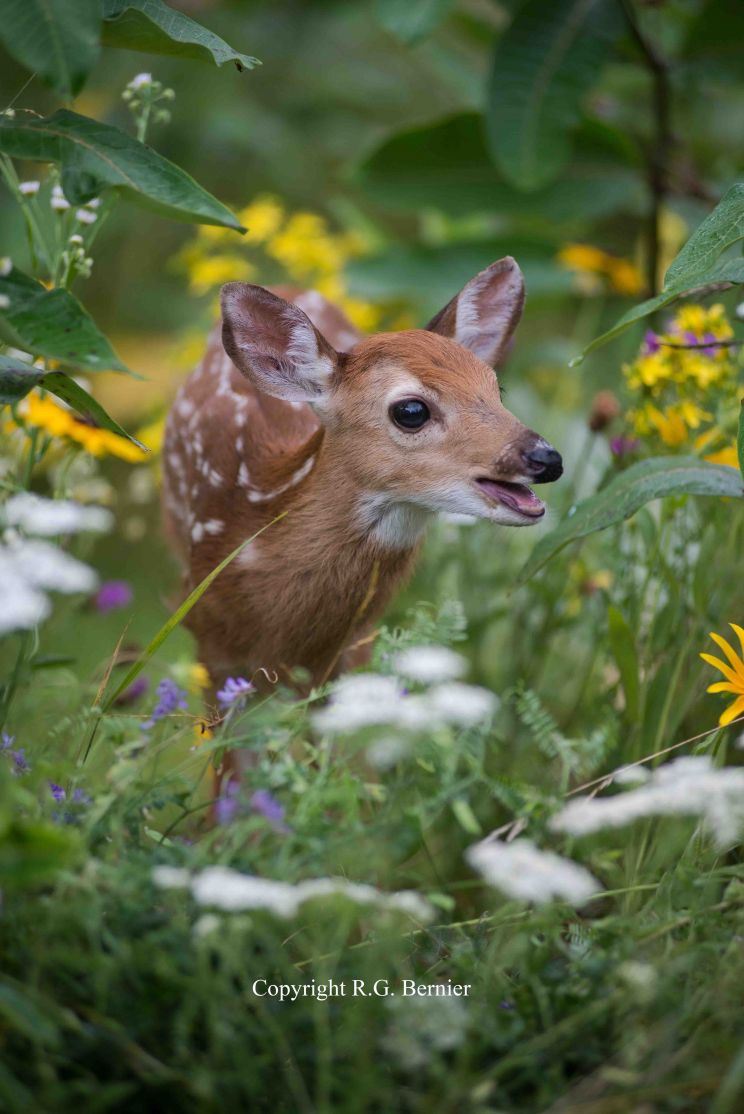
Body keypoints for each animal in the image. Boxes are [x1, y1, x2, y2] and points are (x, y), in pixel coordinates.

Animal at [160, 253, 561, 793]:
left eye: (497, 390)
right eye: (411, 410)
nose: (546, 459)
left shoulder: (350, 645)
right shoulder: (212, 643)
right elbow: (232, 781)